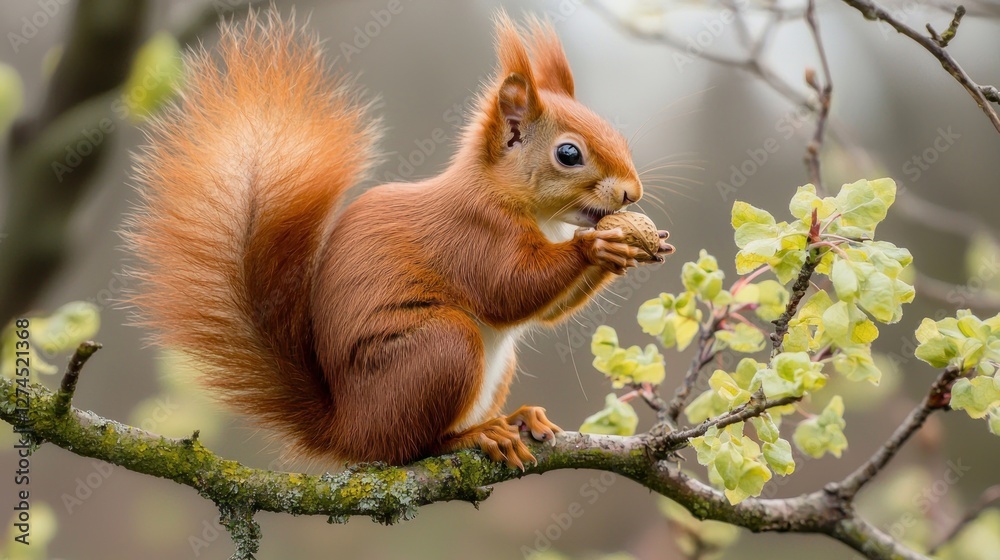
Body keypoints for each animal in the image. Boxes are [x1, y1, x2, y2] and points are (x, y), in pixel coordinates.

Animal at [124, 10, 673, 469]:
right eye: (568, 153)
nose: (632, 191)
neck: (528, 209)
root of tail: (348, 430)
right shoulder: (471, 235)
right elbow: (508, 290)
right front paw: (594, 246)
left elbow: (546, 312)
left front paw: (635, 246)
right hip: (439, 349)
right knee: (409, 448)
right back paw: (473, 436)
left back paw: (518, 418)